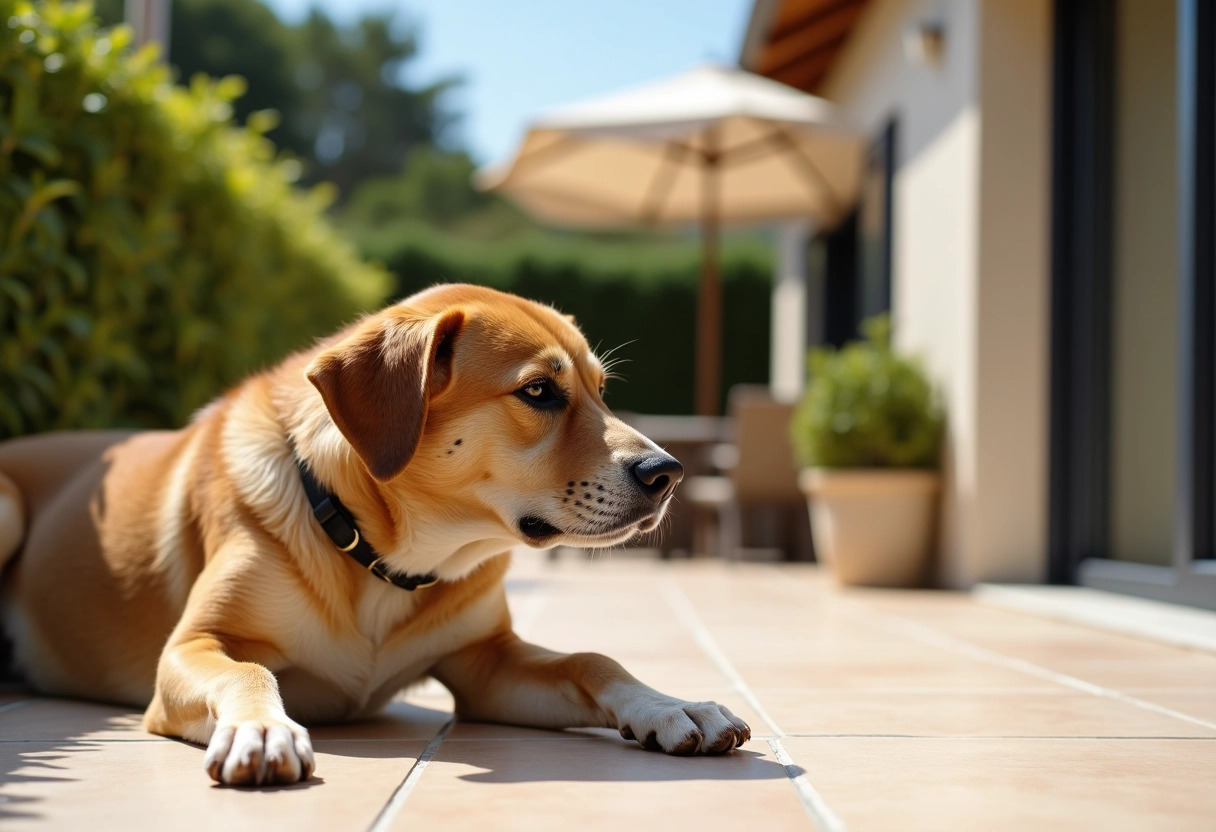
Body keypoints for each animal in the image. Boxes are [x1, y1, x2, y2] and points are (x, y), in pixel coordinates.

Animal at [0, 285, 749, 788]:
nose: (668, 472)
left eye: (600, 389)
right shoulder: (192, 646)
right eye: (538, 391)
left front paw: (672, 705)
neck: (377, 553)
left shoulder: (486, 664)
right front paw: (263, 727)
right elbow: (246, 668)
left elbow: (593, 659)